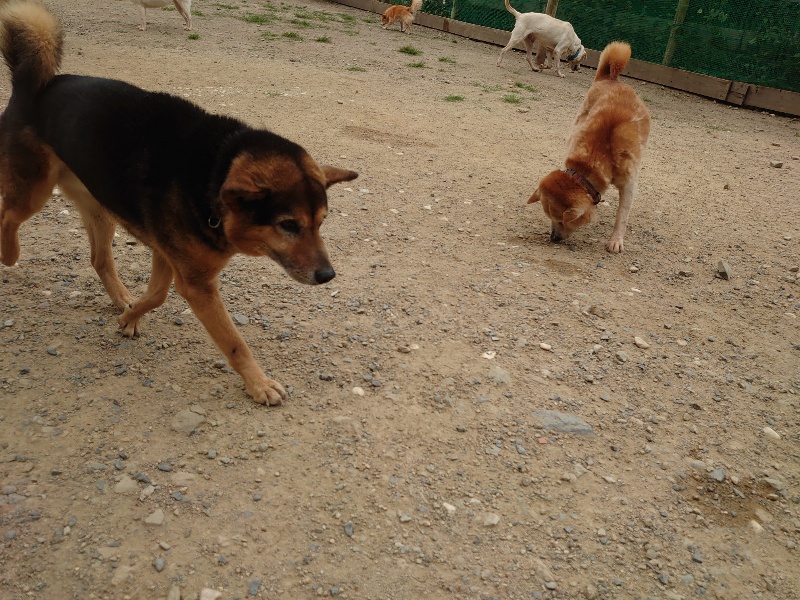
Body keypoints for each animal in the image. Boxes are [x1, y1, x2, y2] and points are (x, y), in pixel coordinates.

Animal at [0, 0, 358, 405]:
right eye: (289, 225)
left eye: (321, 223)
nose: (328, 276)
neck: (213, 172)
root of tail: (33, 86)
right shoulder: (197, 283)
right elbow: (233, 342)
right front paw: (259, 384)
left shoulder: (169, 257)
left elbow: (156, 296)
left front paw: (129, 316)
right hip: (34, 191)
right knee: (7, 215)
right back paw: (9, 255)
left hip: (100, 208)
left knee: (99, 259)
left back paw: (121, 297)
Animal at [528, 42, 650, 253]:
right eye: (550, 218)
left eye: (562, 221)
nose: (553, 238)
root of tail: (610, 79)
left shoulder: (629, 183)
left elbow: (622, 215)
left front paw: (616, 240)